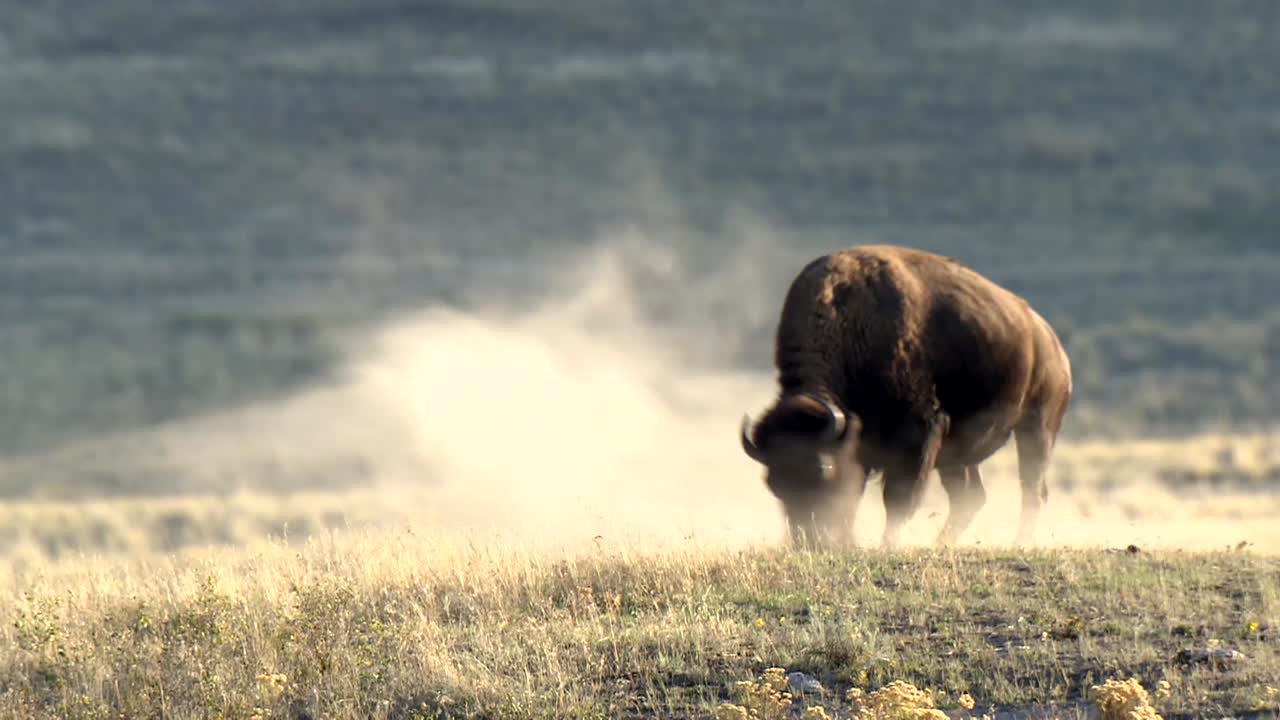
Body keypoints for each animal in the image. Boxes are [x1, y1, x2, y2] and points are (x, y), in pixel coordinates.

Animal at [740, 245, 1073, 549]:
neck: (851, 325)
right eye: (772, 483)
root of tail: (1050, 341)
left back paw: (1018, 544)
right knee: (970, 497)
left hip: (1036, 429)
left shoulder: (920, 433)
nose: (808, 540)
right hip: (958, 451)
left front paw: (887, 545)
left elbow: (899, 498)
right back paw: (941, 545)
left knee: (1032, 489)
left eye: (824, 469)